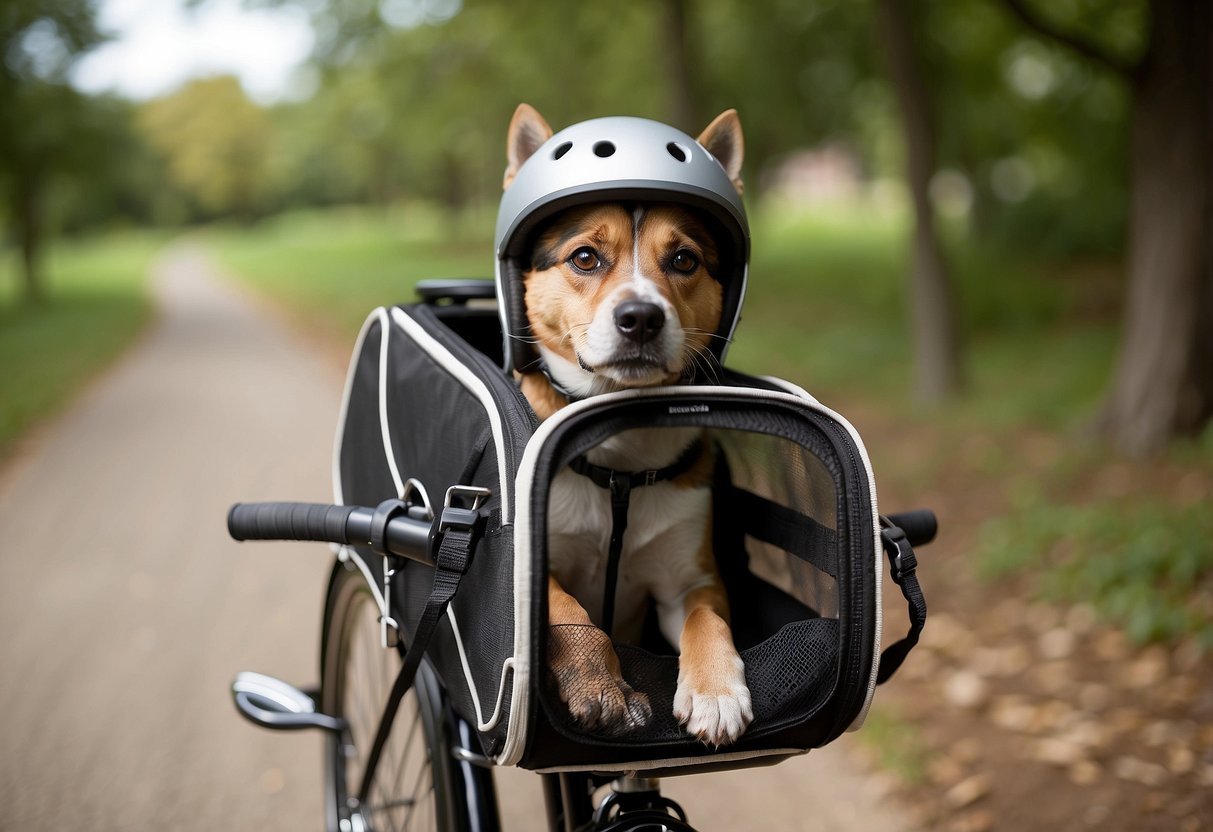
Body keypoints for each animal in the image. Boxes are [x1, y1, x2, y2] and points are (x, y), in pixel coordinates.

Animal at [499, 104, 747, 751]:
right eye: (585, 257)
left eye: (684, 259)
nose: (640, 317)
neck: (620, 457)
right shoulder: (531, 565)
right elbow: (565, 608)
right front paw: (600, 684)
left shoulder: (689, 580)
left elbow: (707, 619)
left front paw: (715, 689)